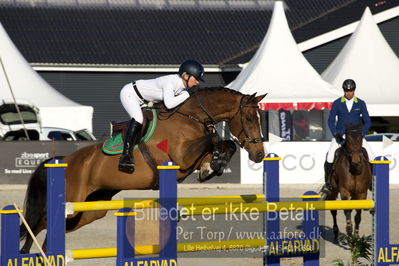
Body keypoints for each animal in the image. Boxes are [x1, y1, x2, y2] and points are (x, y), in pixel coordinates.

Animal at [20, 88, 268, 254]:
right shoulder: (181, 156)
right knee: (39, 222)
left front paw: (213, 166)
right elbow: (217, 140)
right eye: (248, 118)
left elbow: (222, 146)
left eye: (260, 118)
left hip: (91, 209)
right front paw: (216, 159)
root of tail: (64, 160)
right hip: (73, 203)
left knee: (50, 229)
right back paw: (24, 252)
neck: (191, 117)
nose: (258, 155)